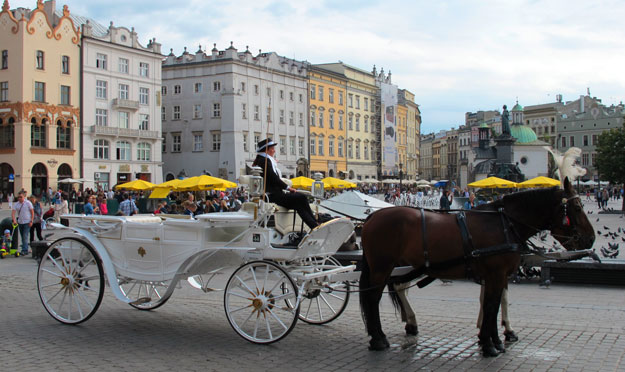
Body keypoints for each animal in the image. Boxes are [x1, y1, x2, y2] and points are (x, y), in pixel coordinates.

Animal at [358, 179, 592, 356]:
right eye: (577, 208)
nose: (590, 238)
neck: (503, 224)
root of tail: (372, 216)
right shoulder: (496, 274)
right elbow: (491, 305)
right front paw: (490, 345)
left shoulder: (497, 276)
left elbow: (494, 304)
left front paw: (494, 339)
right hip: (381, 267)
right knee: (372, 299)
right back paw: (379, 339)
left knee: (391, 291)